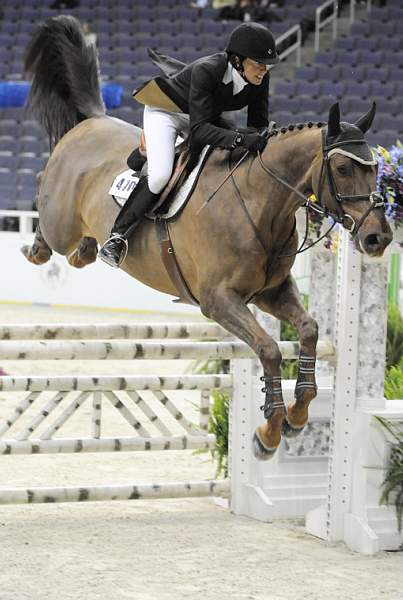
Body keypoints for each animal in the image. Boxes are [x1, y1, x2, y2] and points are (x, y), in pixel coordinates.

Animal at [20, 16, 392, 462]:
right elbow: (268, 349)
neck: (259, 205)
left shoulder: (270, 292)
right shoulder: (218, 301)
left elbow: (309, 330)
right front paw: (269, 432)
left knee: (77, 248)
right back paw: (39, 247)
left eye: (374, 169)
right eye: (342, 168)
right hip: (60, 218)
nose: (378, 238)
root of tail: (92, 120)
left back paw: (89, 250)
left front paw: (299, 412)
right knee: (44, 197)